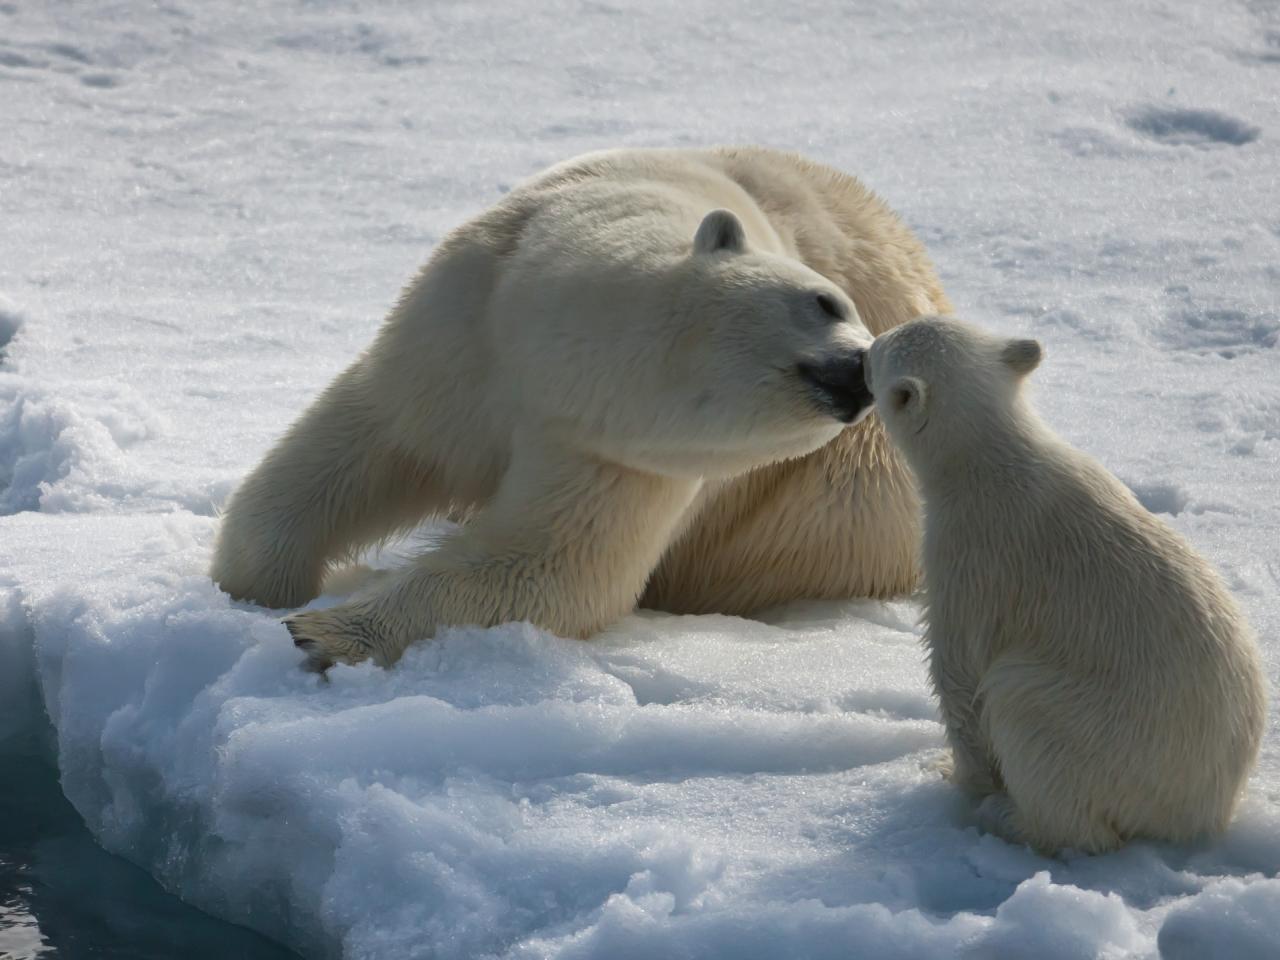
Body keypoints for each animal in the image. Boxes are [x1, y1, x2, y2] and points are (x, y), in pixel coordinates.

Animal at [212, 146, 952, 670]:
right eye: (825, 301)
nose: (862, 374)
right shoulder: (465, 330)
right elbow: (370, 444)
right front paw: (251, 590)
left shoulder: (618, 456)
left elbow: (549, 567)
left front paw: (324, 631)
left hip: (844, 507)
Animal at [865, 320, 1264, 855]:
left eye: (882, 348)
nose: (861, 350)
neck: (990, 459)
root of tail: (1200, 816)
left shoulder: (968, 555)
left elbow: (960, 670)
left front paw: (960, 775)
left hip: (1099, 732)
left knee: (1025, 710)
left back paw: (1009, 817)